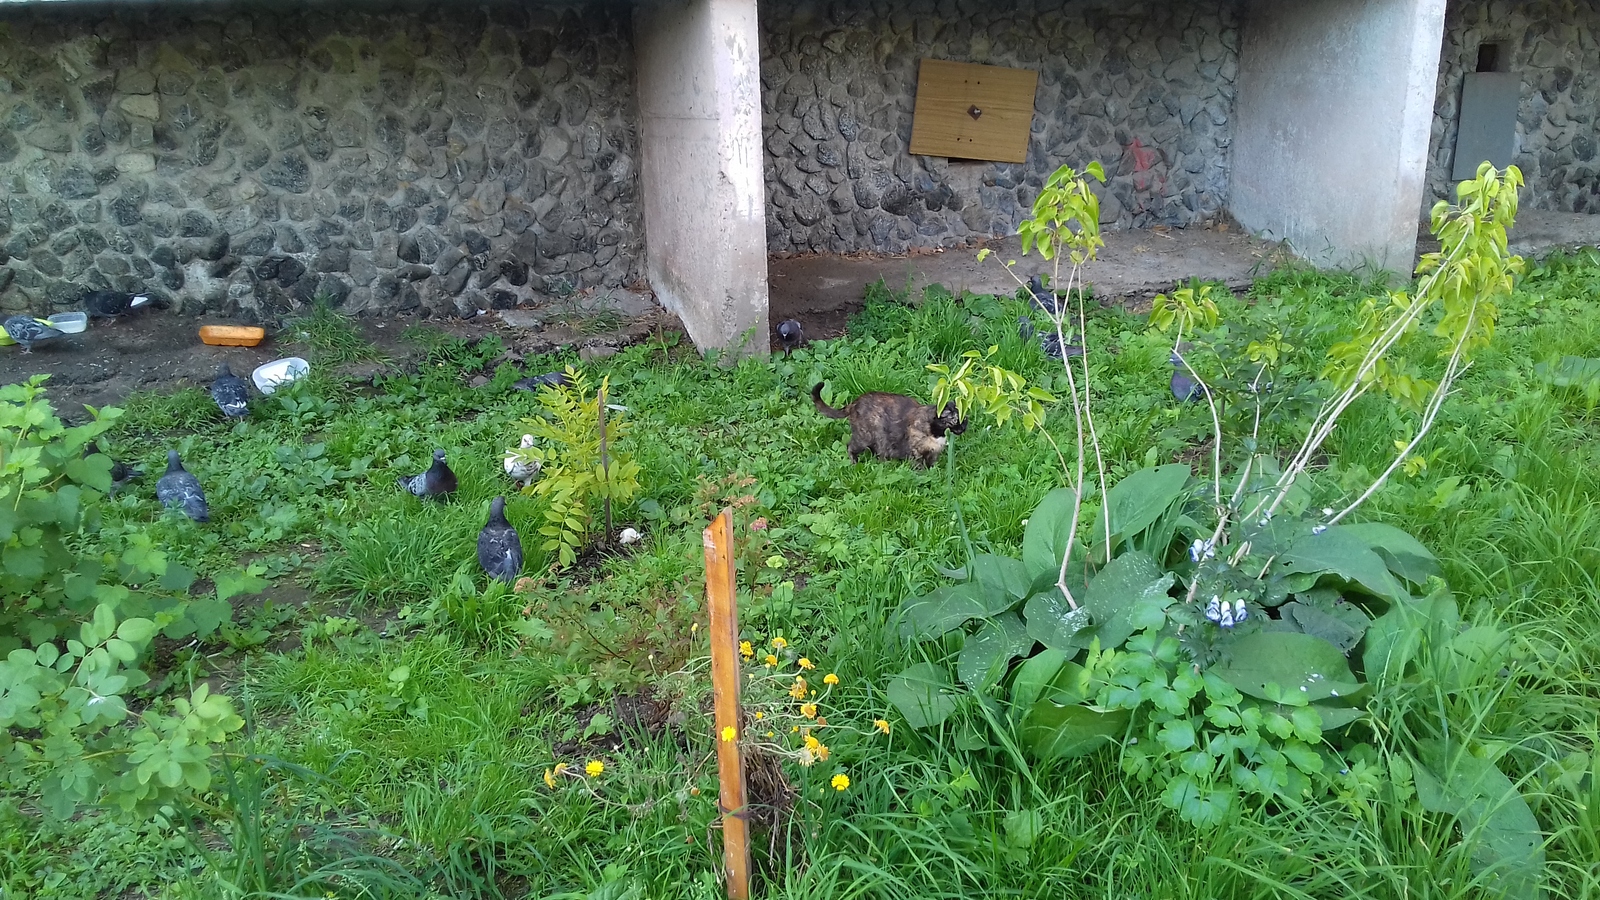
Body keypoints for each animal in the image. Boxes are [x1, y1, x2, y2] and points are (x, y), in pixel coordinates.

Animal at [806, 379, 966, 461]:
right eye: (954, 420)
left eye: (965, 420)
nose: (963, 428)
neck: (936, 433)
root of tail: (855, 402)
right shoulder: (916, 452)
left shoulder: (933, 453)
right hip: (864, 437)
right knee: (850, 446)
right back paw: (855, 462)